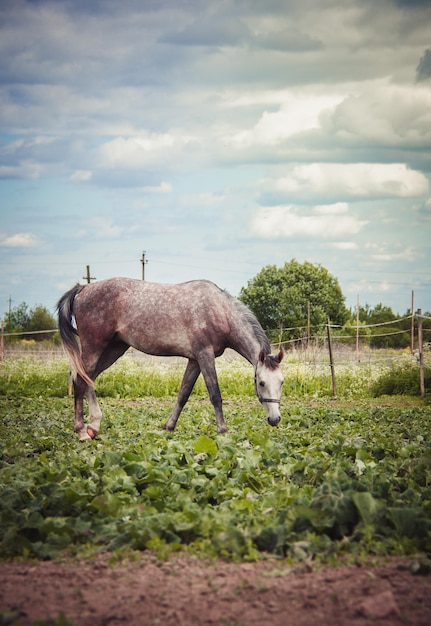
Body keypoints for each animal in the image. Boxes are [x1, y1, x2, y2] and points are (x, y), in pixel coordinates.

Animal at [57, 278, 286, 438]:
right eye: (261, 382)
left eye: (282, 382)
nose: (275, 419)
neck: (220, 311)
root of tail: (83, 289)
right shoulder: (205, 355)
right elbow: (215, 395)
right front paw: (223, 430)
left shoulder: (194, 360)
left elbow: (183, 395)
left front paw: (168, 427)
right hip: (94, 346)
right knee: (80, 381)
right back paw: (81, 431)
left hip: (114, 348)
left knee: (89, 380)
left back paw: (94, 426)